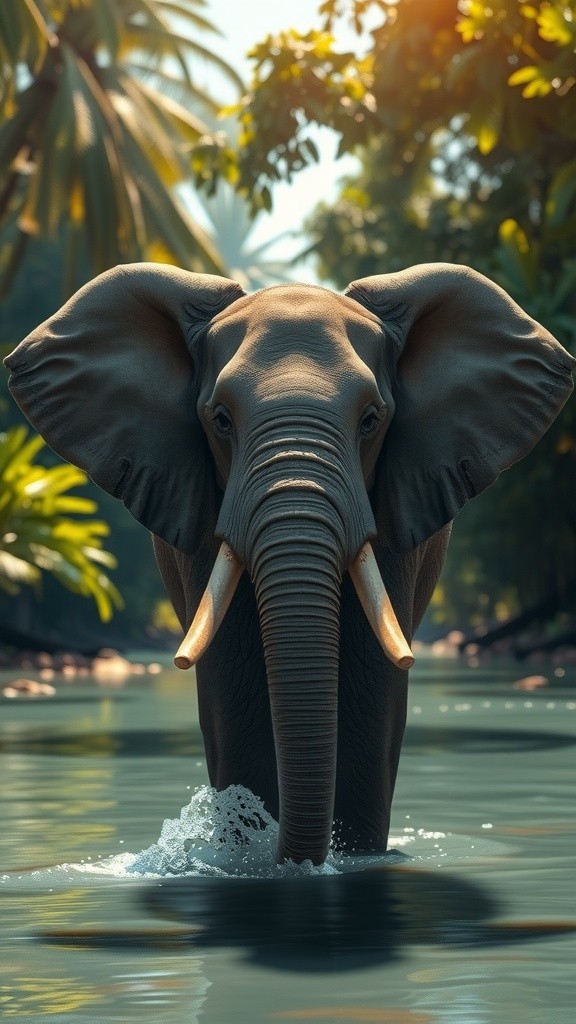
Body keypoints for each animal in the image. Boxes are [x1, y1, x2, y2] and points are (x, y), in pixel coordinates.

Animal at [5, 261, 574, 866]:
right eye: (220, 420)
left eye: (371, 419)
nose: (289, 855)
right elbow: (230, 683)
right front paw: (247, 855)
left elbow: (374, 687)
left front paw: (353, 860)